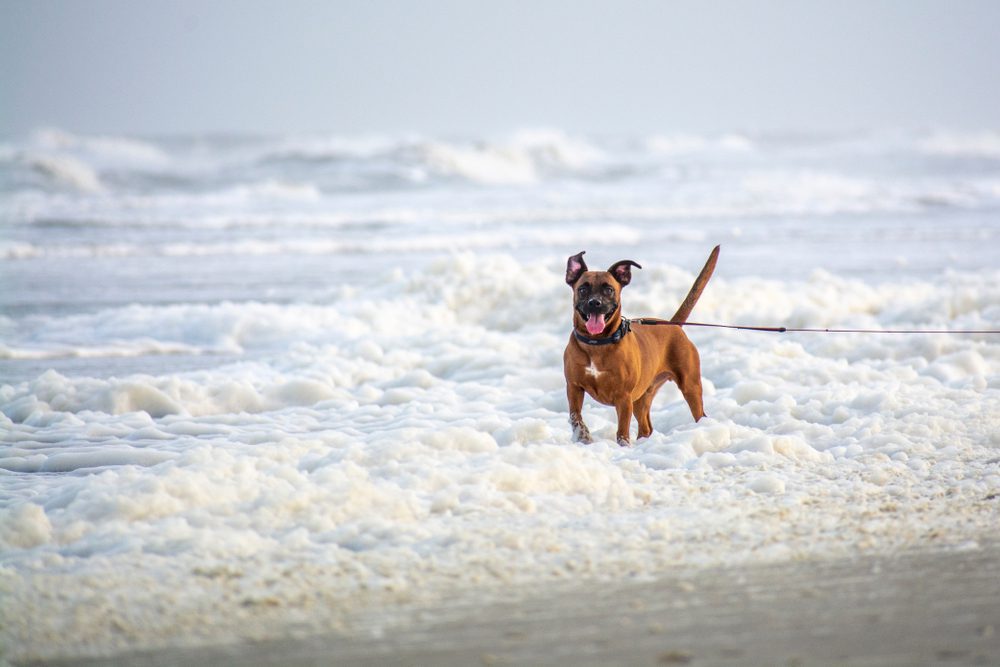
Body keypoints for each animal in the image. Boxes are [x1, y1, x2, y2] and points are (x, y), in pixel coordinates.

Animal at [564, 248, 720, 446]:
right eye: (583, 289)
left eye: (609, 289)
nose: (595, 303)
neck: (597, 343)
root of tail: (673, 325)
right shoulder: (574, 387)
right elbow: (575, 416)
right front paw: (583, 436)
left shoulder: (623, 397)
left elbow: (622, 430)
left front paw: (623, 445)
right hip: (641, 398)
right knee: (646, 428)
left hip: (690, 386)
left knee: (699, 413)